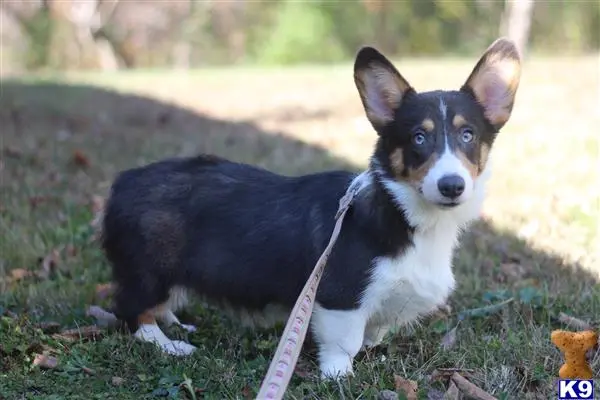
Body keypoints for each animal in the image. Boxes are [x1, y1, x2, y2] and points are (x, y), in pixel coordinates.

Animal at [99, 37, 520, 378]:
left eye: (468, 135)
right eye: (419, 137)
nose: (452, 186)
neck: (404, 213)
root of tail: (123, 182)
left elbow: (374, 331)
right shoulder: (340, 296)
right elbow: (344, 342)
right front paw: (339, 376)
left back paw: (176, 324)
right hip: (151, 269)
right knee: (131, 311)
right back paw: (169, 344)